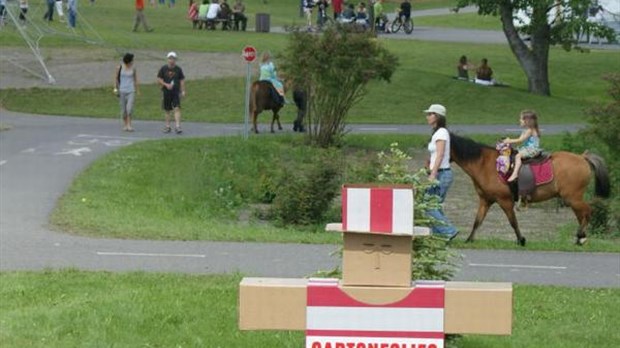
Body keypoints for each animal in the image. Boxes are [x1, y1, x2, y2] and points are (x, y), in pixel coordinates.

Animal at [448, 133, 612, 245]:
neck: (485, 164)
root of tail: (582, 157)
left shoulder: (504, 201)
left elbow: (513, 222)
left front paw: (521, 240)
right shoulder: (485, 200)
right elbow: (477, 221)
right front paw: (469, 239)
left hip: (573, 198)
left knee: (588, 211)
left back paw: (580, 235)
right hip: (573, 199)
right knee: (582, 215)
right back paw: (581, 238)